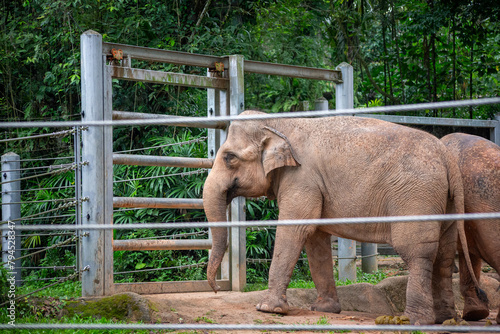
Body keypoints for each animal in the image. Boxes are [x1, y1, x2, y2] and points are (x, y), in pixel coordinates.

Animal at [203, 111, 480, 324]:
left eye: (229, 157)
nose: (215, 289)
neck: (282, 123)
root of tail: (448, 159)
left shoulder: (302, 179)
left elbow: (295, 229)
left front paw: (268, 309)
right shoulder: (312, 185)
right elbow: (315, 238)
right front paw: (323, 310)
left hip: (416, 196)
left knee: (417, 253)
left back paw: (414, 320)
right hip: (446, 202)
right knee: (444, 255)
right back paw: (444, 319)